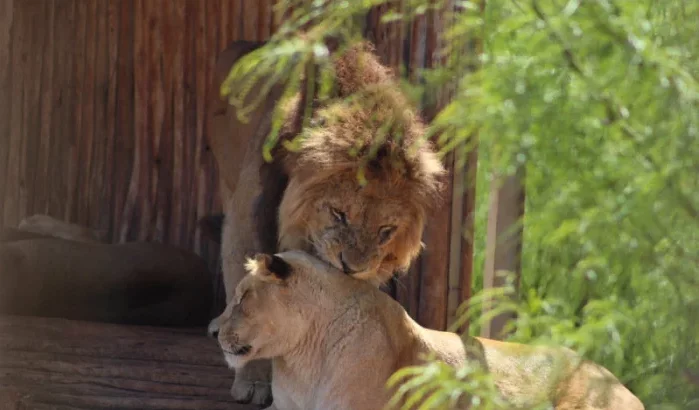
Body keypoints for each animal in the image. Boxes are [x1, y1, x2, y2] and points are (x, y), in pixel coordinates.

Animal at [209, 39, 442, 404]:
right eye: (339, 213)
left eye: (386, 231)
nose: (352, 268)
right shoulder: (244, 223)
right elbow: (245, 295)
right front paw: (255, 380)